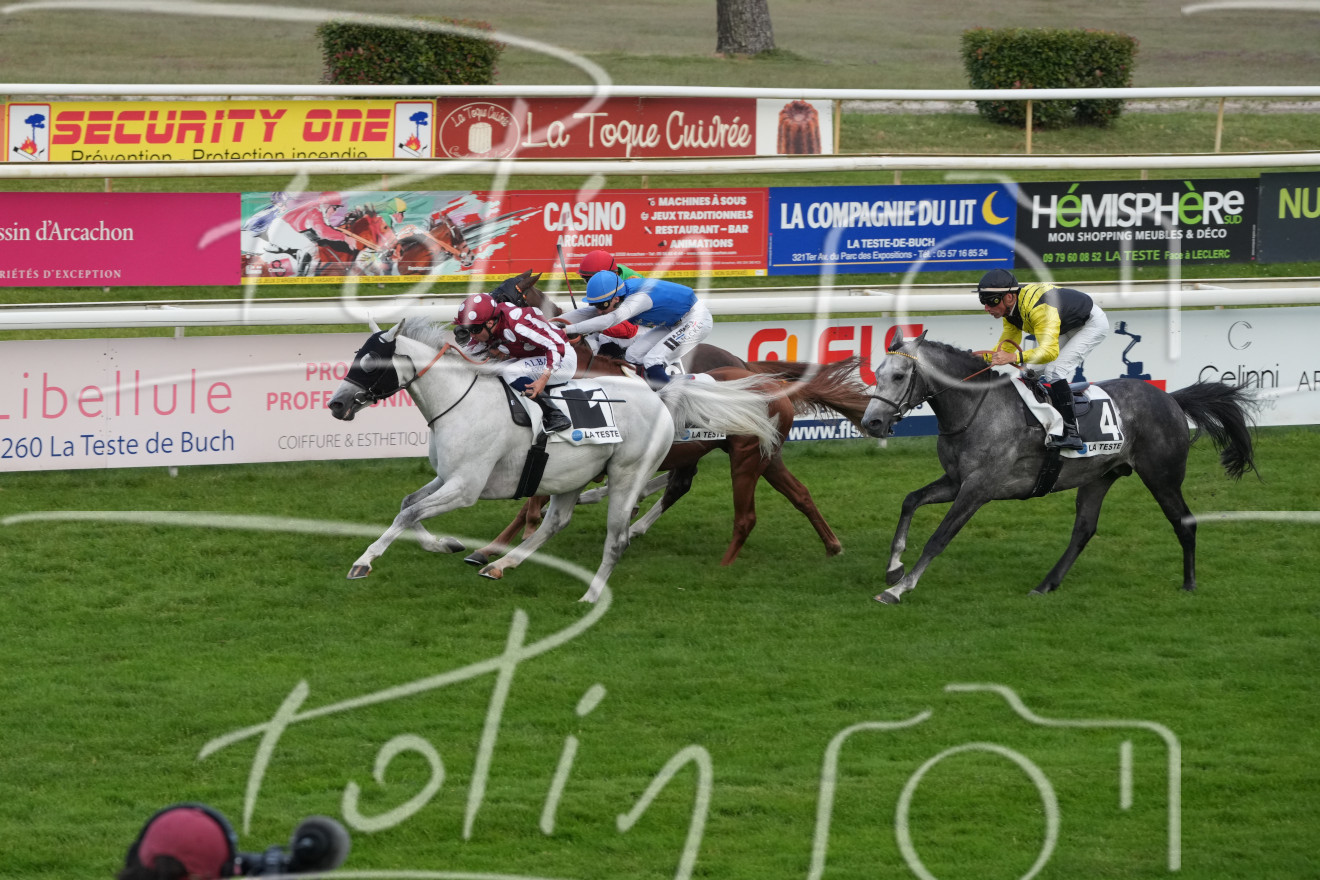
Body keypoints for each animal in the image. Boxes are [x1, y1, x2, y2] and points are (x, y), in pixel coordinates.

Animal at [326, 318, 783, 602]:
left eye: (372, 361)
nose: (337, 404)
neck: (460, 402)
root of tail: (660, 396)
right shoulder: (449, 477)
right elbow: (408, 505)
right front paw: (444, 544)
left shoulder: (467, 486)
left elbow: (408, 514)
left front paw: (363, 562)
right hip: (572, 475)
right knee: (556, 521)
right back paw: (501, 564)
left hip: (627, 474)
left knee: (618, 536)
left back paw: (591, 594)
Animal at [859, 330, 1258, 604]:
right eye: (876, 372)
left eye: (898, 376)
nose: (872, 423)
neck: (976, 409)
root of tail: (1170, 398)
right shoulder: (957, 480)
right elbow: (910, 500)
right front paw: (894, 567)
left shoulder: (979, 488)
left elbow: (939, 537)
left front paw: (899, 588)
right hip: (1099, 476)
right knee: (1084, 530)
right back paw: (1045, 584)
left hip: (1162, 477)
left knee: (1184, 522)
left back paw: (1189, 583)